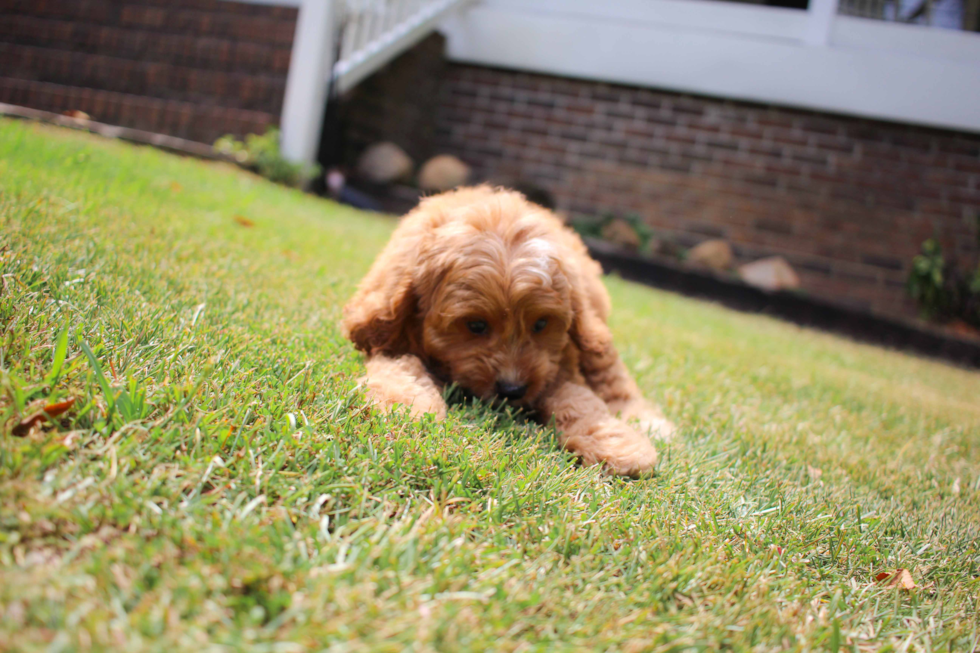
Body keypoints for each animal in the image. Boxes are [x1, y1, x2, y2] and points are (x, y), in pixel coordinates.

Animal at [342, 183, 672, 474]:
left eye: (541, 324)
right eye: (476, 325)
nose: (513, 390)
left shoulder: (559, 366)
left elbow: (577, 399)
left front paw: (615, 443)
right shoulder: (387, 335)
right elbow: (401, 366)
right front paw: (402, 405)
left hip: (596, 336)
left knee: (612, 376)